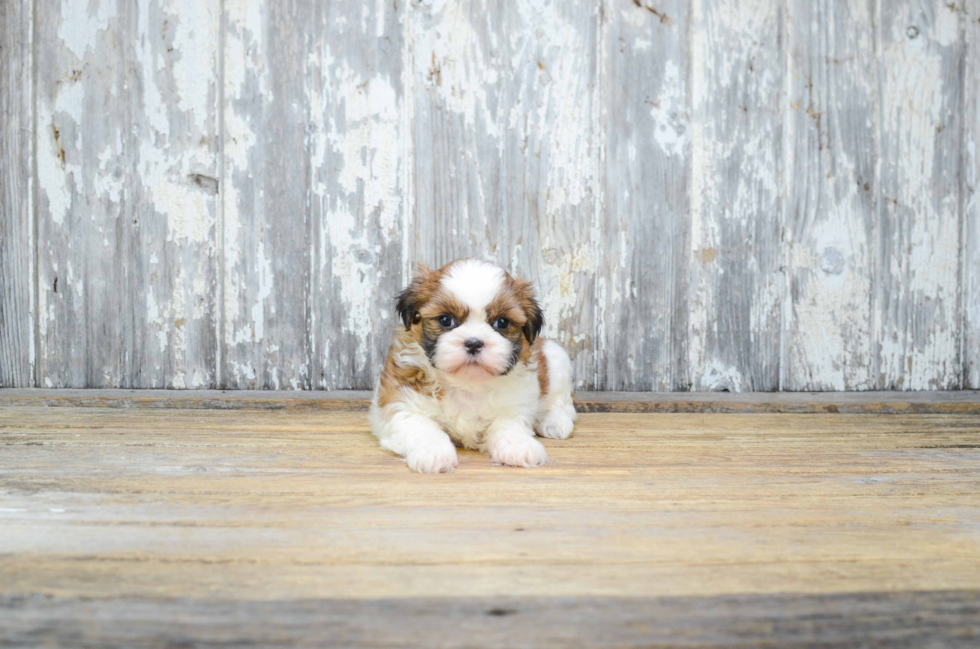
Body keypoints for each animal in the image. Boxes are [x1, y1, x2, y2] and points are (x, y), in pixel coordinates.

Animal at [372, 256, 580, 470]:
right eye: (445, 320)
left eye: (502, 322)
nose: (473, 343)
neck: (467, 383)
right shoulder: (401, 401)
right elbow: (420, 425)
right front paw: (434, 452)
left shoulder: (515, 402)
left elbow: (508, 424)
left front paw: (518, 445)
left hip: (557, 359)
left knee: (561, 403)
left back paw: (555, 422)